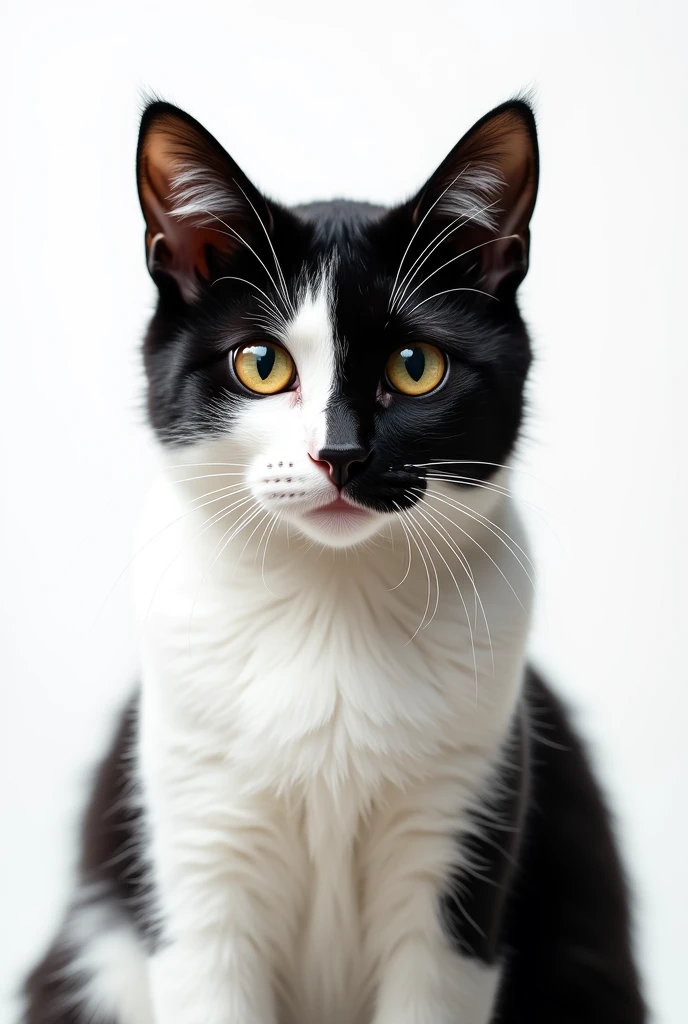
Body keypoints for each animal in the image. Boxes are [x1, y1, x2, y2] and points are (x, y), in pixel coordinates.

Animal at [21, 97, 647, 1024]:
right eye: (261, 363)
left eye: (416, 367)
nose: (341, 455)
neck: (330, 601)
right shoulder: (198, 848)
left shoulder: (457, 846)